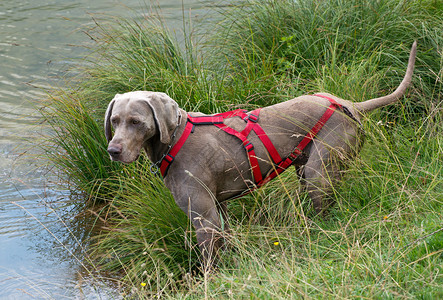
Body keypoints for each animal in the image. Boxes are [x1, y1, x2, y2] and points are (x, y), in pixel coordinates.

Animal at [106, 41, 418, 268]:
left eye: (136, 121)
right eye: (114, 121)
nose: (112, 150)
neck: (175, 140)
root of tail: (351, 104)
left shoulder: (203, 217)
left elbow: (209, 261)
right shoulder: (218, 207)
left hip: (319, 168)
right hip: (307, 166)